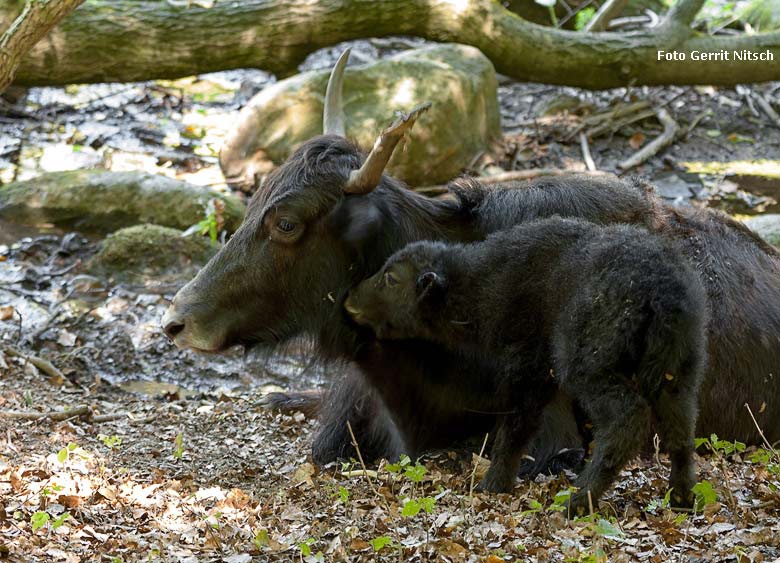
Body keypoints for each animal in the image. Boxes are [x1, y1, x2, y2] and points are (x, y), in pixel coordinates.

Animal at [344, 218, 708, 512]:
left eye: (391, 278)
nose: (350, 299)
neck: (483, 281)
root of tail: (662, 290)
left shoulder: (528, 367)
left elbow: (517, 426)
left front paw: (494, 484)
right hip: (678, 372)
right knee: (681, 430)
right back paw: (681, 497)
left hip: (590, 367)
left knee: (626, 421)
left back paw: (579, 500)